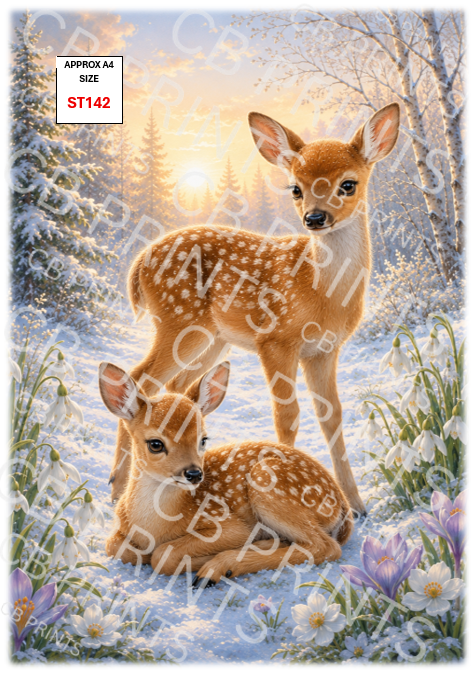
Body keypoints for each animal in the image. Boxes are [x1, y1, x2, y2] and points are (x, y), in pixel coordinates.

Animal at [99, 360, 353, 586]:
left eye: (203, 439)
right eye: (155, 444)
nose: (194, 474)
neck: (153, 526)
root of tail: (343, 504)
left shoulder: (228, 524)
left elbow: (163, 556)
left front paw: (199, 561)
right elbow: (114, 546)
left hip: (269, 483)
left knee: (326, 546)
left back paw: (218, 568)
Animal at [108, 102, 400, 518]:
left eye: (348, 184)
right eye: (295, 188)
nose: (315, 218)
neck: (321, 292)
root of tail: (137, 265)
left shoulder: (325, 349)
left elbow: (332, 415)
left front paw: (356, 505)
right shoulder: (275, 339)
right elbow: (287, 417)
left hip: (211, 339)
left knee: (177, 388)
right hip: (177, 322)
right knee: (140, 379)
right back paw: (118, 489)